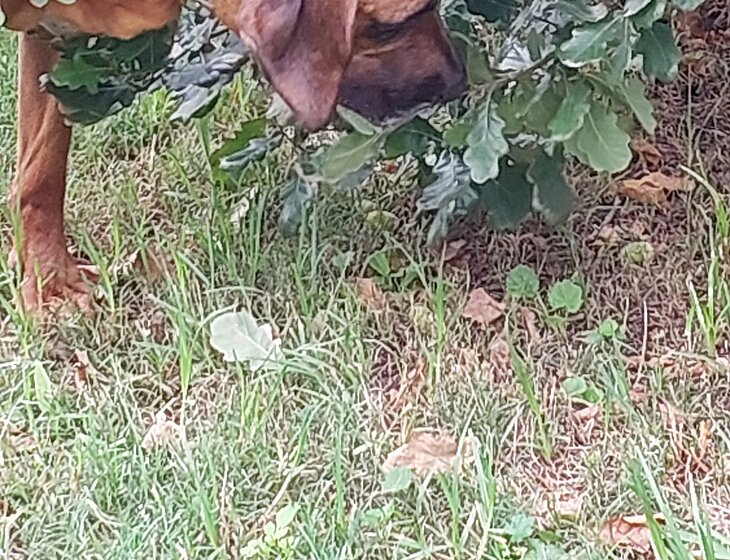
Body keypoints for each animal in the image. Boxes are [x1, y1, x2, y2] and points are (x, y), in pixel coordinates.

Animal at [2, 0, 465, 313]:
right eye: (393, 25)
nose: (459, 82)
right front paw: (48, 283)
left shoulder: (51, 40)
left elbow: (43, 167)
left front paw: (48, 278)